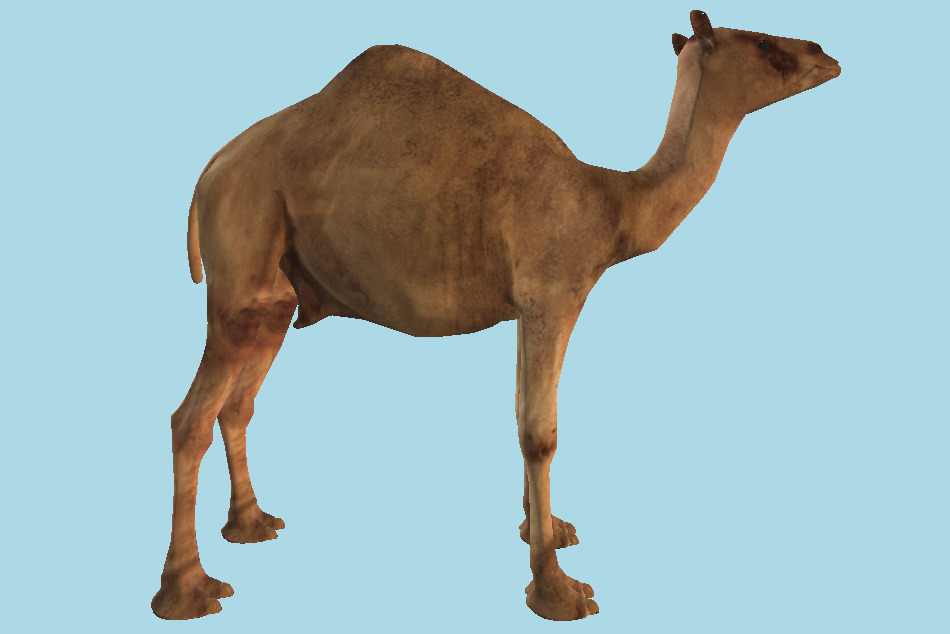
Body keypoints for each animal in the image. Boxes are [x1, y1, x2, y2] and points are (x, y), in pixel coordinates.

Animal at [153, 10, 840, 621]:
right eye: (763, 44)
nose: (825, 54)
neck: (611, 204)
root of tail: (210, 172)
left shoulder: (525, 304)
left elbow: (519, 414)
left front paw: (548, 530)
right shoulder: (552, 291)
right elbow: (540, 432)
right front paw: (557, 589)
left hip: (276, 291)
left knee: (237, 402)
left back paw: (251, 524)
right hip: (241, 250)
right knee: (191, 416)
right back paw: (189, 591)